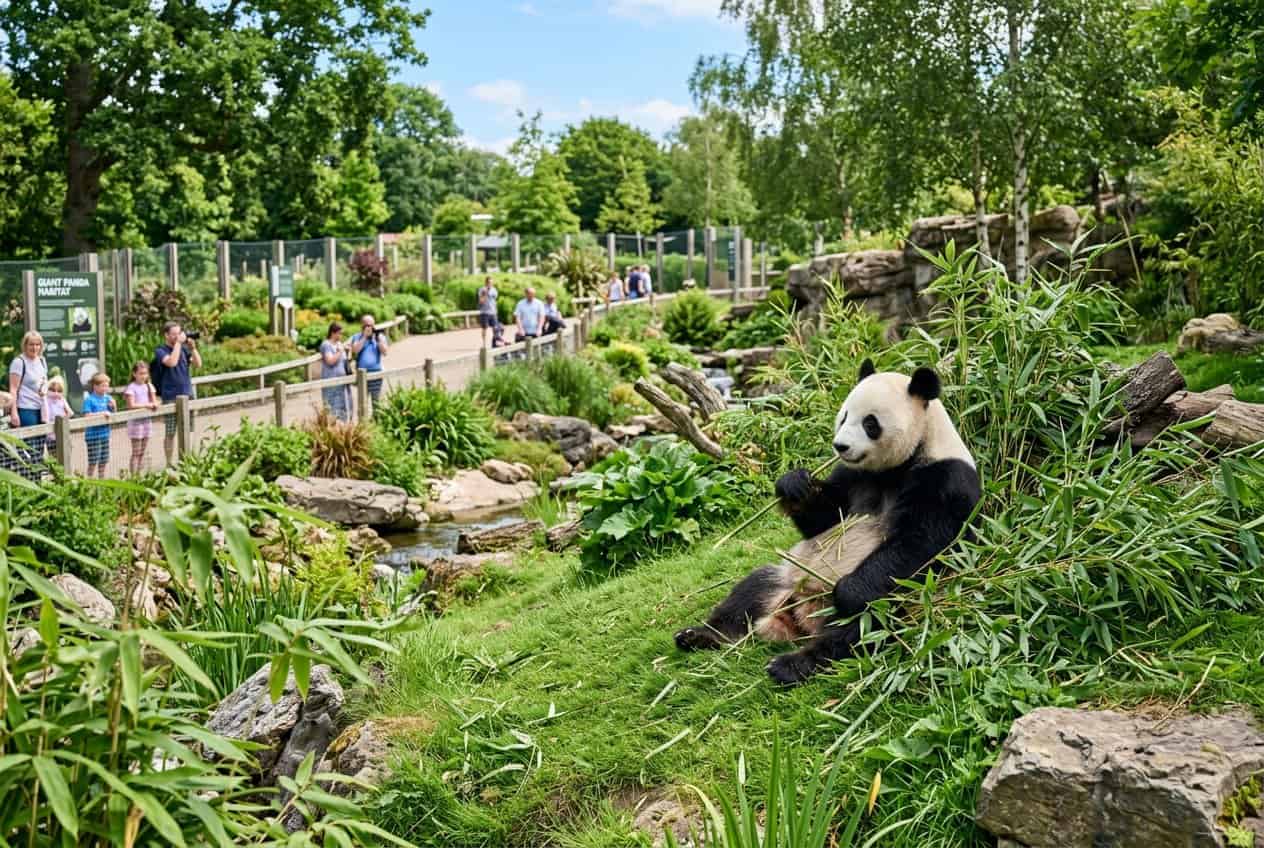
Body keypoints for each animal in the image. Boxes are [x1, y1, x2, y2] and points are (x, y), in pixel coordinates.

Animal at [674, 359, 982, 686]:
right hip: (785, 577)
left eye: (870, 423)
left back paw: (791, 664)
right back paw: (699, 635)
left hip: (896, 599)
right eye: (844, 415)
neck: (901, 463)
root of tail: (798, 619)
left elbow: (919, 543)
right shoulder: (854, 476)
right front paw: (795, 485)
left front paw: (847, 592)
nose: (840, 446)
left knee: (860, 628)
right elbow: (824, 518)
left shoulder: (944, 479)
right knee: (748, 592)